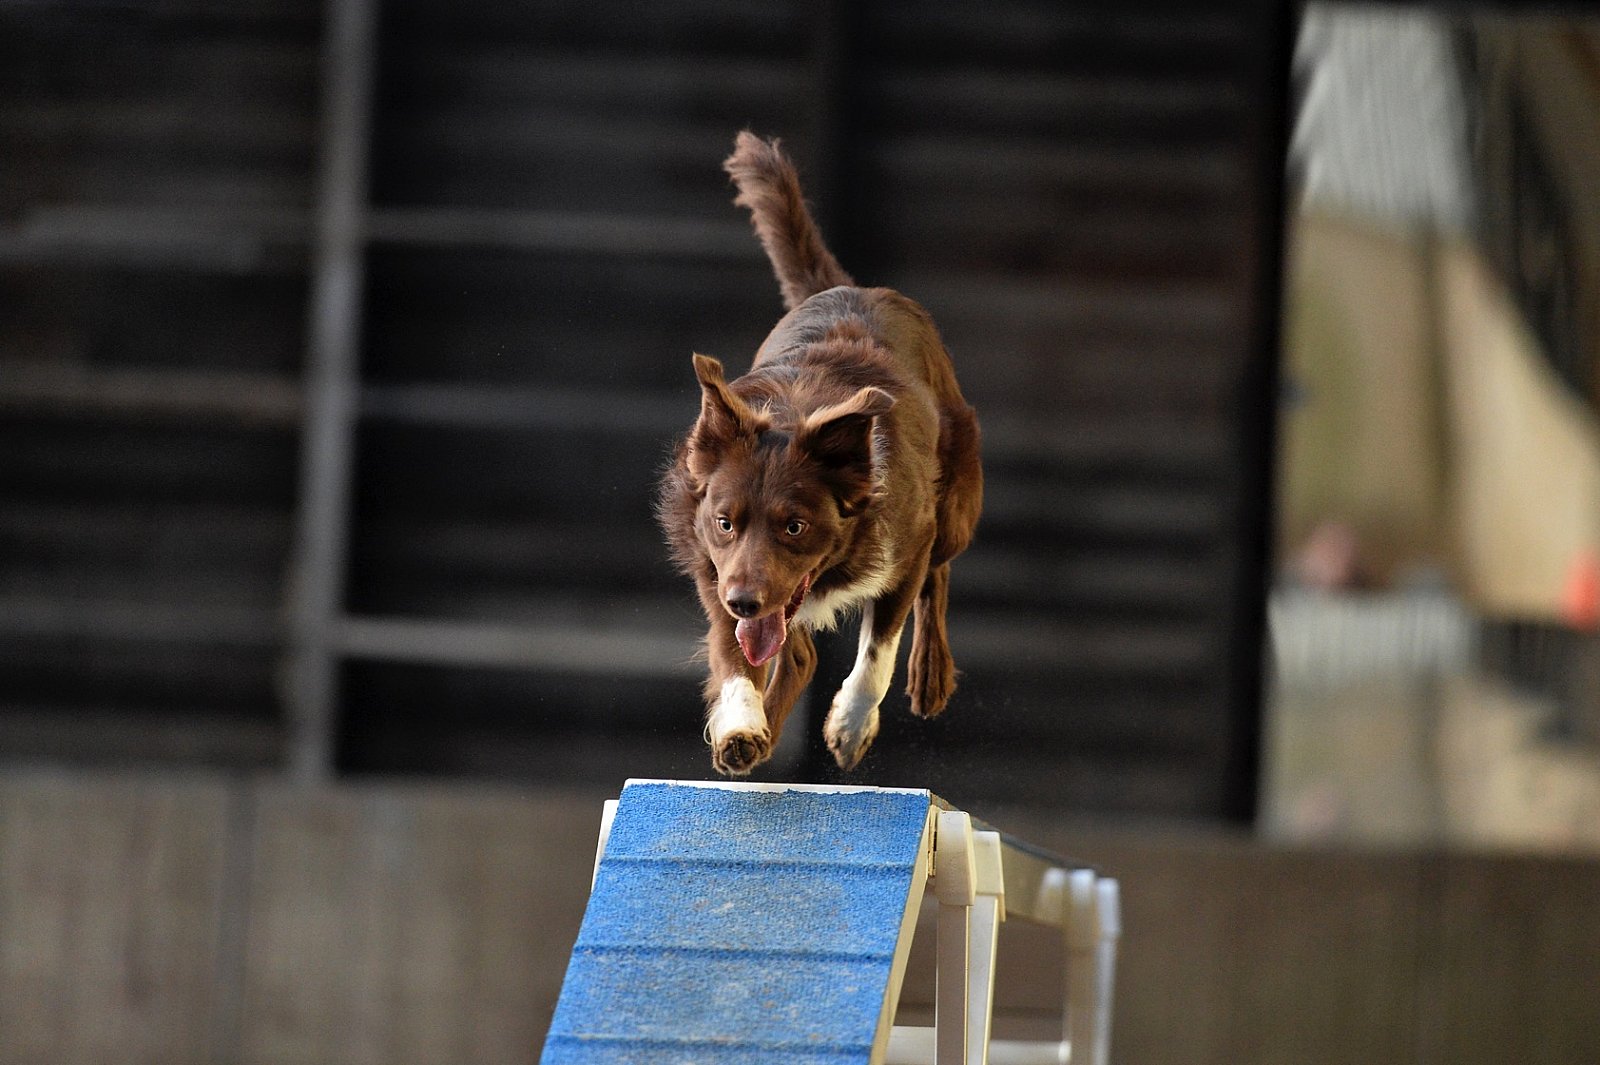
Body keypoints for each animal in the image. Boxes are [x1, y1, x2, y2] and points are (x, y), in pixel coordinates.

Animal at [656, 132, 982, 776]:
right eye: (725, 523)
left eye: (795, 526)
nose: (746, 602)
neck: (794, 413)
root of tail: (853, 286)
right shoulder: (715, 569)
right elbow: (734, 657)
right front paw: (740, 725)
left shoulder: (906, 545)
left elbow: (877, 656)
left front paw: (851, 726)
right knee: (799, 651)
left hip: (954, 504)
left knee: (939, 576)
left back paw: (930, 674)